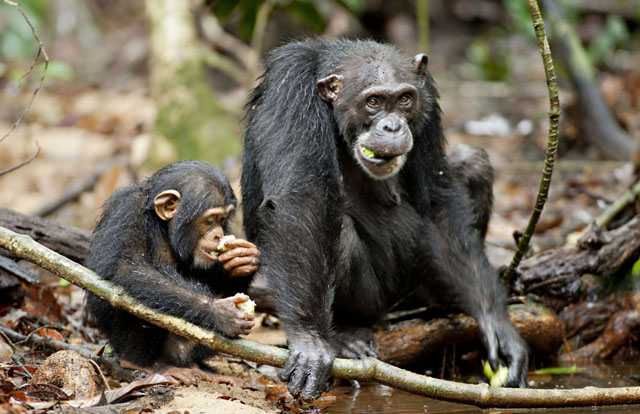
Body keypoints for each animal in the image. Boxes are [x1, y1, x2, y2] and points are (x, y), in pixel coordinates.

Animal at [85, 160, 260, 384]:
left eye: (223, 219)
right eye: (210, 220)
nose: (218, 234)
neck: (162, 225)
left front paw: (243, 260)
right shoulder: (127, 210)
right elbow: (128, 267)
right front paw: (220, 312)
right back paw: (145, 364)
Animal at [242, 38, 528, 398]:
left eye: (404, 99)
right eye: (373, 101)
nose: (392, 125)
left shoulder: (427, 100)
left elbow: (436, 200)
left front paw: (496, 325)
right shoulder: (290, 90)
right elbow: (304, 198)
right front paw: (310, 340)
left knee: (471, 160)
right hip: (375, 300)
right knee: (340, 231)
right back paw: (348, 333)